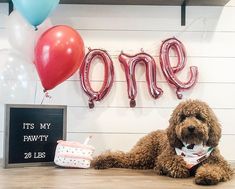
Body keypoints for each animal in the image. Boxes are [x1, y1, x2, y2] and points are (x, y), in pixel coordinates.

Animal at [92, 99, 233, 185]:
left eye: (199, 117)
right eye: (183, 118)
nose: (191, 127)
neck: (192, 147)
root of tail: (151, 133)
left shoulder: (221, 163)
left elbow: (215, 167)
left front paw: (207, 176)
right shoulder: (164, 157)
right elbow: (173, 161)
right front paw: (179, 169)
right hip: (143, 154)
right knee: (120, 156)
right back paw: (99, 161)